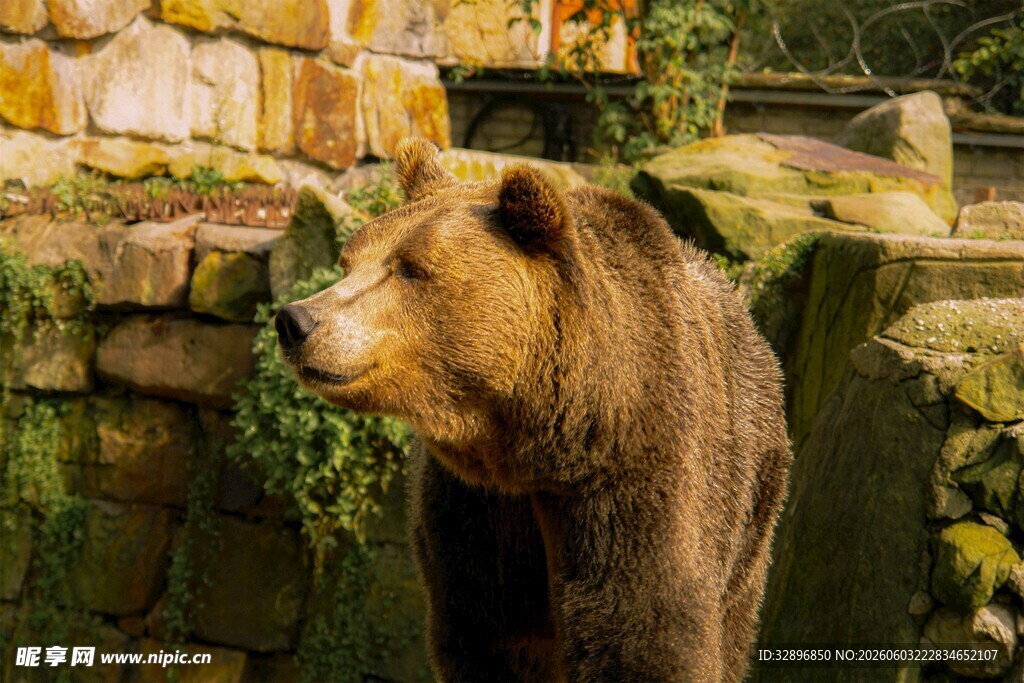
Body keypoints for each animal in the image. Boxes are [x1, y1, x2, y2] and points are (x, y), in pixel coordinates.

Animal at [275, 138, 792, 682]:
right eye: (348, 260)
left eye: (411, 267)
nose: (296, 320)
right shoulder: (473, 514)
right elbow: (490, 639)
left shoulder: (640, 484)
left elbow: (647, 638)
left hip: (751, 502)